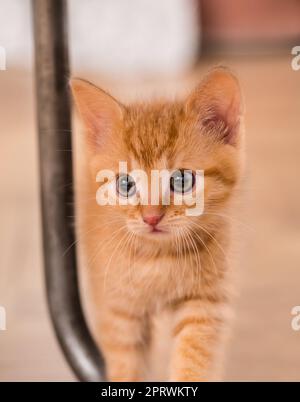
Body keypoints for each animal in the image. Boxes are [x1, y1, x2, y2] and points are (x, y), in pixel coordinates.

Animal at [70, 67, 244, 382]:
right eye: (125, 184)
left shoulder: (205, 304)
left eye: (182, 180)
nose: (151, 217)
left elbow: (194, 358)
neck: (160, 258)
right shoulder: (119, 313)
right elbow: (126, 366)